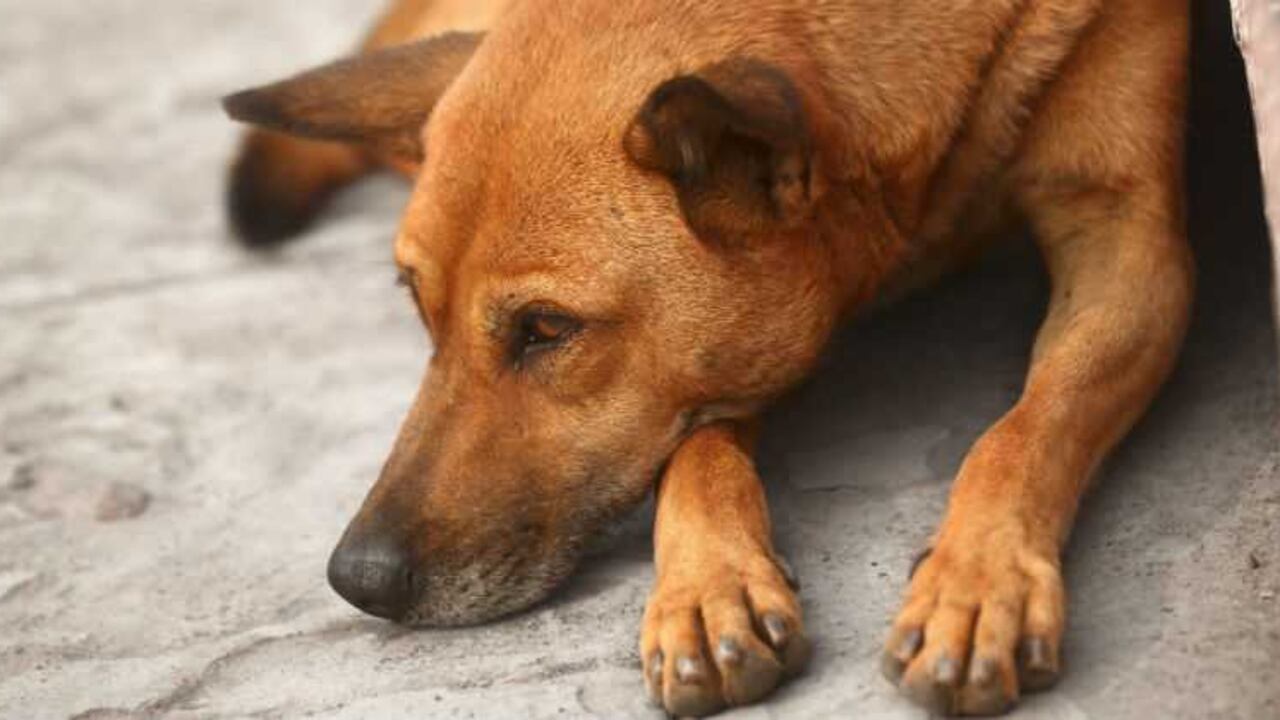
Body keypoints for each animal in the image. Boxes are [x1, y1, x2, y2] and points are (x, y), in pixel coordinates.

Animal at [222, 0, 1192, 715]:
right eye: (418, 309)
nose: (358, 581)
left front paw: (978, 580)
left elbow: (1023, 431)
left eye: (546, 329)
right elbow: (694, 454)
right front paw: (705, 588)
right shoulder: (728, 356)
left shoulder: (1129, 249)